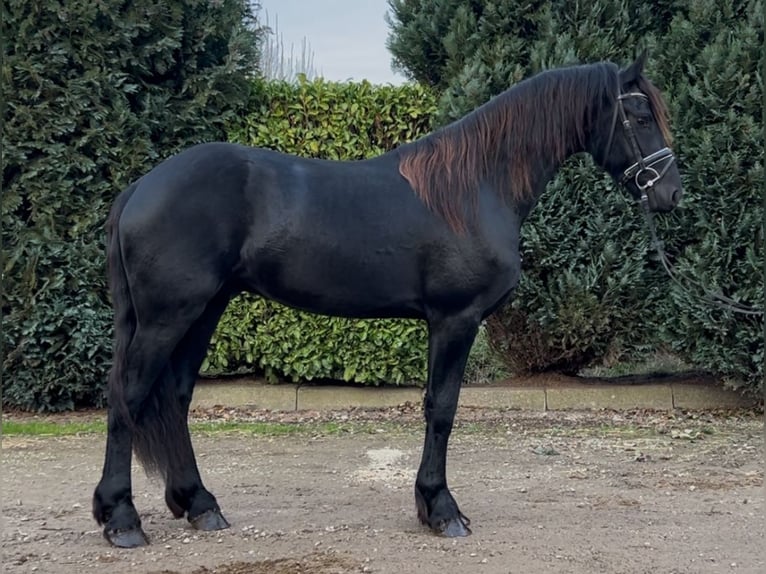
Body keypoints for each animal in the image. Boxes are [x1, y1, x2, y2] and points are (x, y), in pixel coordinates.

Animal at [91, 54, 684, 548]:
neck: (474, 186)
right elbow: (441, 409)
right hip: (168, 317)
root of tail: (141, 187)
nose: (670, 193)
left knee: (174, 399)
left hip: (202, 312)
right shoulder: (455, 319)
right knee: (128, 397)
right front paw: (441, 510)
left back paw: (199, 505)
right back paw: (122, 520)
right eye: (638, 116)